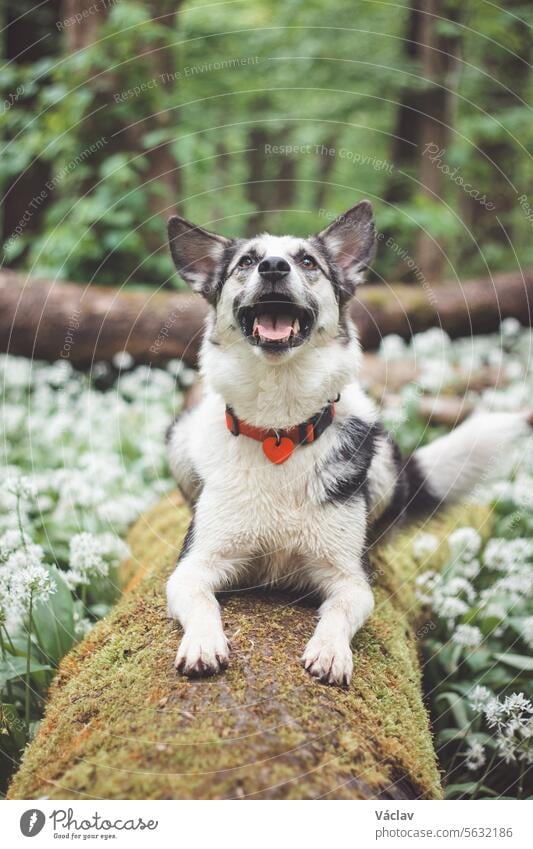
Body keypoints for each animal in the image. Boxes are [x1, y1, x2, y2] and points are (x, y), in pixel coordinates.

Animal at [164, 202, 528, 684]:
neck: (280, 427)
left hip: (383, 456)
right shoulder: (195, 565)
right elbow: (202, 600)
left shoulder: (349, 578)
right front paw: (204, 641)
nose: (273, 267)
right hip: (179, 436)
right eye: (246, 261)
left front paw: (331, 651)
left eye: (307, 262)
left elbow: (339, 611)